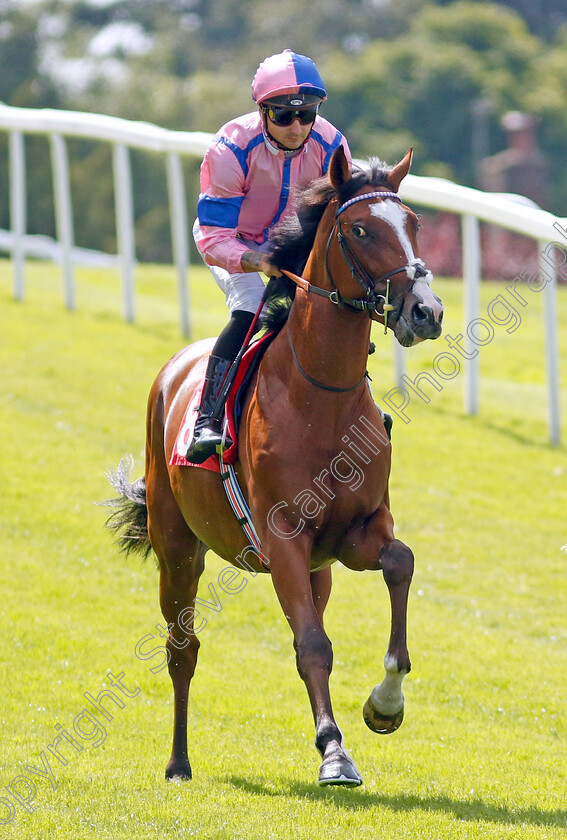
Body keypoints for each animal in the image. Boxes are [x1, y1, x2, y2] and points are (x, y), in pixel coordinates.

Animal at [105, 146, 444, 788]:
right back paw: (179, 762)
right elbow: (313, 645)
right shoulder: (283, 534)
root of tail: (173, 370)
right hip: (178, 547)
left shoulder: (351, 534)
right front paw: (334, 752)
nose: (426, 312)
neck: (322, 399)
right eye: (359, 230)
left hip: (318, 571)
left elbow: (400, 564)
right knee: (183, 650)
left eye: (413, 224)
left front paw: (385, 705)